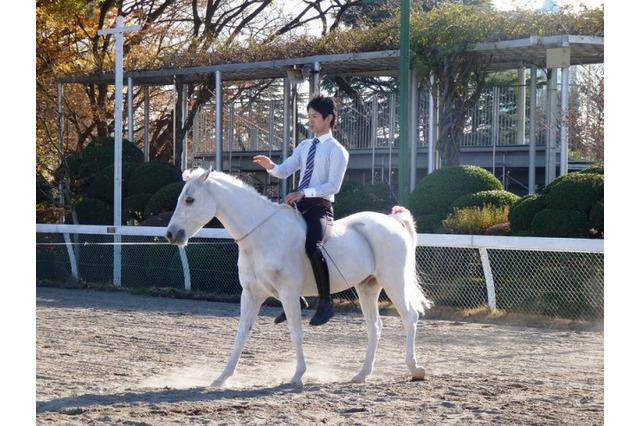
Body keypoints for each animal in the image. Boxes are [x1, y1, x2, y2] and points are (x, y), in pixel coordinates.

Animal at [168, 167, 432, 386]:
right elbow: (242, 334)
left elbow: (296, 333)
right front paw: (222, 377)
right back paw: (362, 374)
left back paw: (415, 369)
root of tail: (392, 220)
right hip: (367, 286)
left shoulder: (288, 294)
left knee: (410, 317)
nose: (171, 234)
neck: (263, 235)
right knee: (374, 326)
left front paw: (297, 375)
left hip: (394, 282)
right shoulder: (252, 294)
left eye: (189, 200)